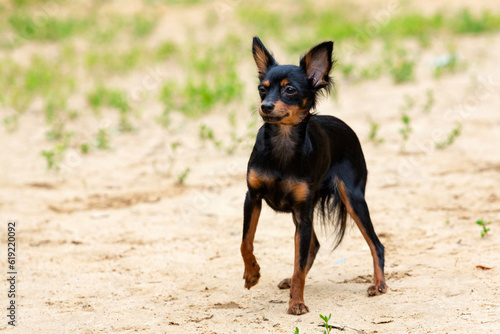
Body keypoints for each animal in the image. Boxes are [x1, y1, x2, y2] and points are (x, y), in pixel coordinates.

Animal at [240, 37, 388, 314]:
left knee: (376, 244)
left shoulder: (303, 213)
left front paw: (297, 303)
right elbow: (246, 242)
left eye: (290, 90)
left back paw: (379, 284)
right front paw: (252, 275)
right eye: (262, 89)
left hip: (352, 199)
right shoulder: (252, 198)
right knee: (315, 246)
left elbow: (298, 260)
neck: (283, 142)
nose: (265, 106)